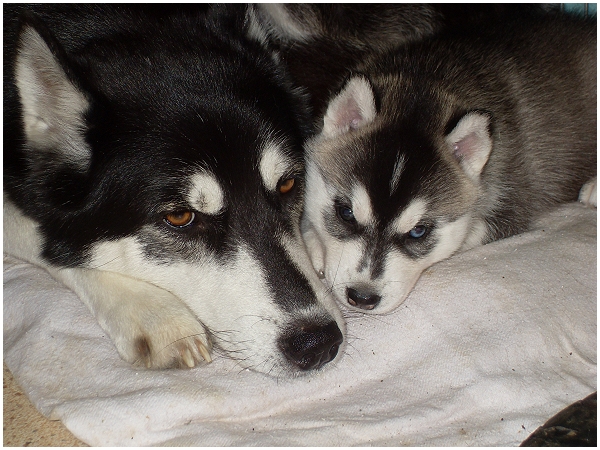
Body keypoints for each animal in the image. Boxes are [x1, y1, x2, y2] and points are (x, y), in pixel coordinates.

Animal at [300, 13, 597, 314]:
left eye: (418, 231)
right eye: (346, 213)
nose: (362, 297)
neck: (425, 79)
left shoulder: (512, 203)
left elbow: (466, 235)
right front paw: (312, 241)